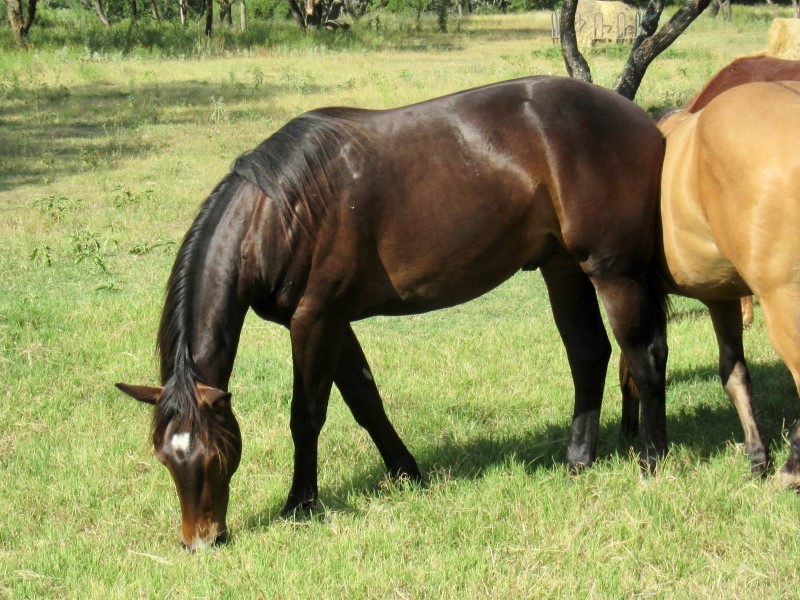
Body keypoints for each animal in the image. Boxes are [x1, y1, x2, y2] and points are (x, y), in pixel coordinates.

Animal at [117, 76, 668, 552]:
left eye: (216, 456)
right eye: (165, 457)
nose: (200, 541)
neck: (278, 211)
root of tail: (644, 122)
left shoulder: (315, 320)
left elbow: (307, 416)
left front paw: (300, 503)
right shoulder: (333, 322)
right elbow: (366, 401)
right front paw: (405, 471)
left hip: (614, 271)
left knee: (643, 356)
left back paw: (652, 460)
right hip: (562, 267)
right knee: (589, 354)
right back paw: (577, 461)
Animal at [620, 79, 800, 486]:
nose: (626, 433)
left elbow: (642, 363)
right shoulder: (722, 298)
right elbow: (734, 375)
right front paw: (757, 456)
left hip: (783, 303)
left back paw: (792, 468)